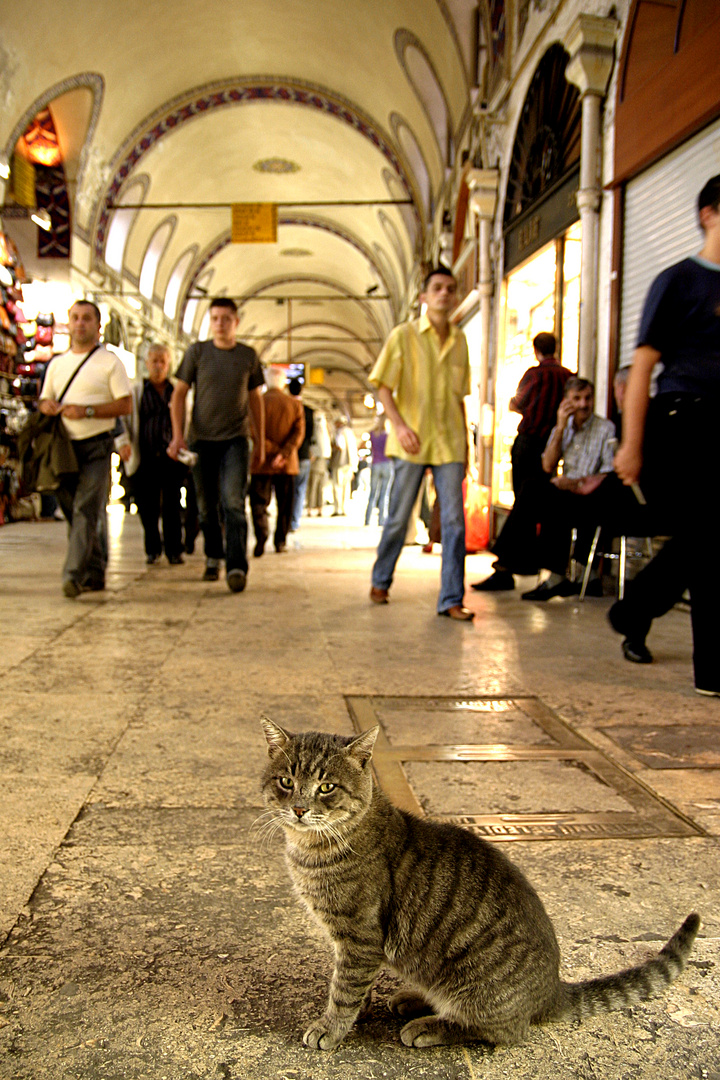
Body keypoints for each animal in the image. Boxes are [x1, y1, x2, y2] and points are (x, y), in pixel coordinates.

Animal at [259, 721, 699, 1049]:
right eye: (285, 781)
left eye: (326, 787)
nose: (299, 809)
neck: (312, 848)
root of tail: (551, 991)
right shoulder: (353, 943)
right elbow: (354, 987)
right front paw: (358, 1012)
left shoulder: (360, 937)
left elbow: (344, 990)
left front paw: (331, 1028)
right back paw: (414, 999)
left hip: (473, 984)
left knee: (500, 1031)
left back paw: (430, 1025)